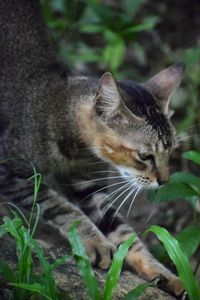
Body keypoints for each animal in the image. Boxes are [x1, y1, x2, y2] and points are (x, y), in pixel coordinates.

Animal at [0, 0, 184, 296]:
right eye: (145, 156)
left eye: (170, 153)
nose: (164, 181)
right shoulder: (12, 172)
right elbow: (62, 207)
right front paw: (96, 243)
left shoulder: (89, 187)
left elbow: (126, 236)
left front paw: (166, 274)